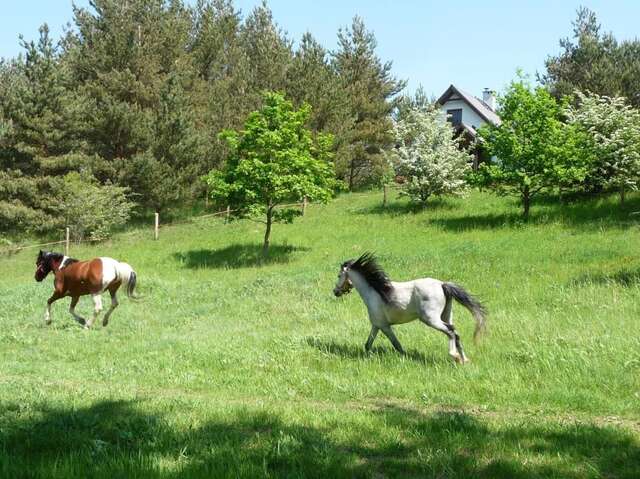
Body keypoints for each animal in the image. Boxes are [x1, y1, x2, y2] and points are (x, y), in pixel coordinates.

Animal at [336, 253, 484, 362]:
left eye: (339, 275)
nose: (335, 291)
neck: (375, 292)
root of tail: (442, 284)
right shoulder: (377, 325)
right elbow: (368, 344)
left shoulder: (384, 326)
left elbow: (397, 345)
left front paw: (404, 357)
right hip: (446, 315)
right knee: (456, 333)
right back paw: (464, 360)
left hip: (431, 319)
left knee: (451, 331)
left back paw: (455, 356)